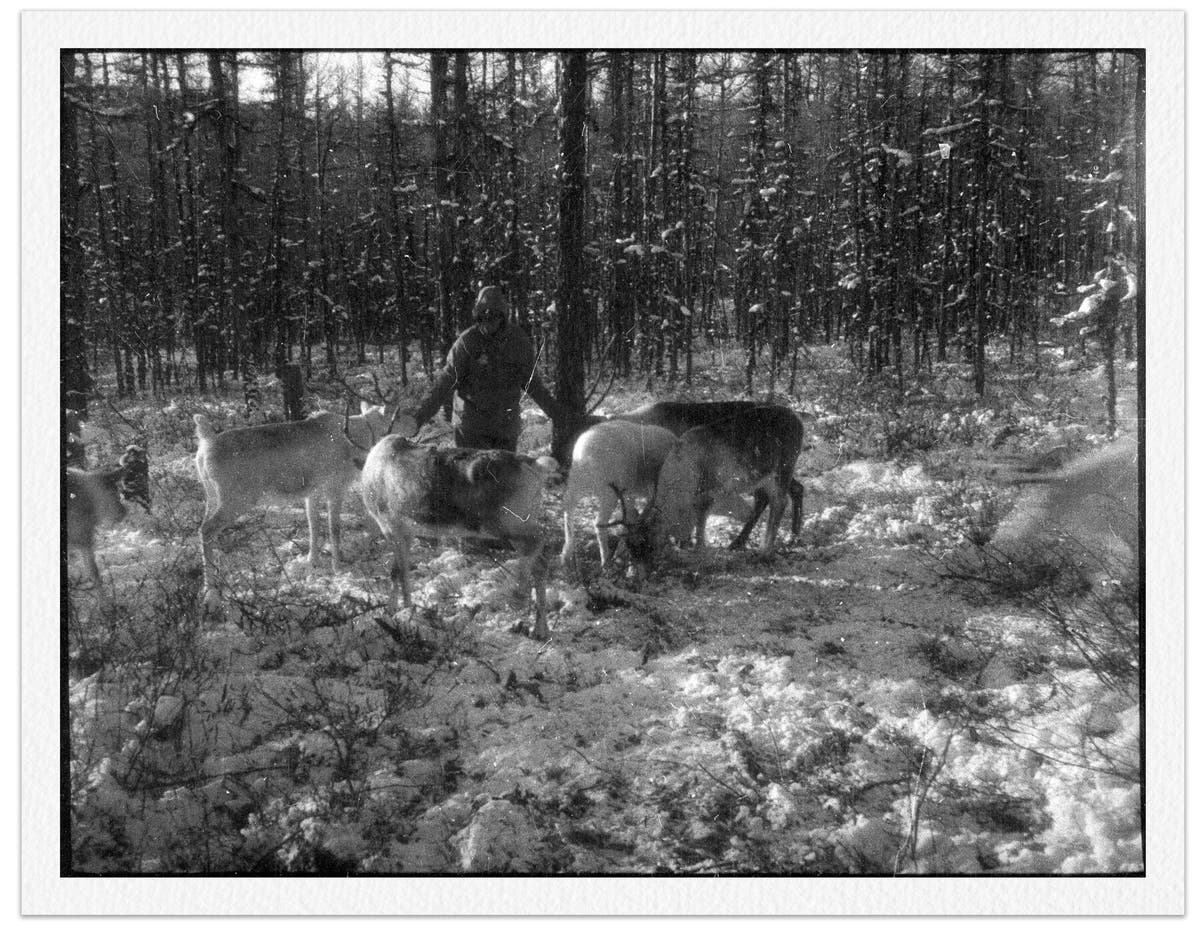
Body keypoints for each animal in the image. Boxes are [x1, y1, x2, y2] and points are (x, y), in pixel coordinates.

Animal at [194, 402, 406, 610]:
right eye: (397, 416)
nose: (406, 437)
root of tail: (205, 444)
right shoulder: (335, 488)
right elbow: (334, 529)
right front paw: (337, 568)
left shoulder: (311, 493)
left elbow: (313, 525)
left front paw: (312, 562)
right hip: (236, 499)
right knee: (207, 529)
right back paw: (209, 592)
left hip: (211, 496)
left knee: (203, 528)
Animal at [359, 436, 558, 640]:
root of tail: (537, 466)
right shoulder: (406, 533)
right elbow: (404, 573)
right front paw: (406, 611)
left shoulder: (390, 526)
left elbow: (396, 572)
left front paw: (393, 611)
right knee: (541, 560)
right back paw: (540, 630)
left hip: (507, 523)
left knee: (540, 541)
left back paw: (517, 594)